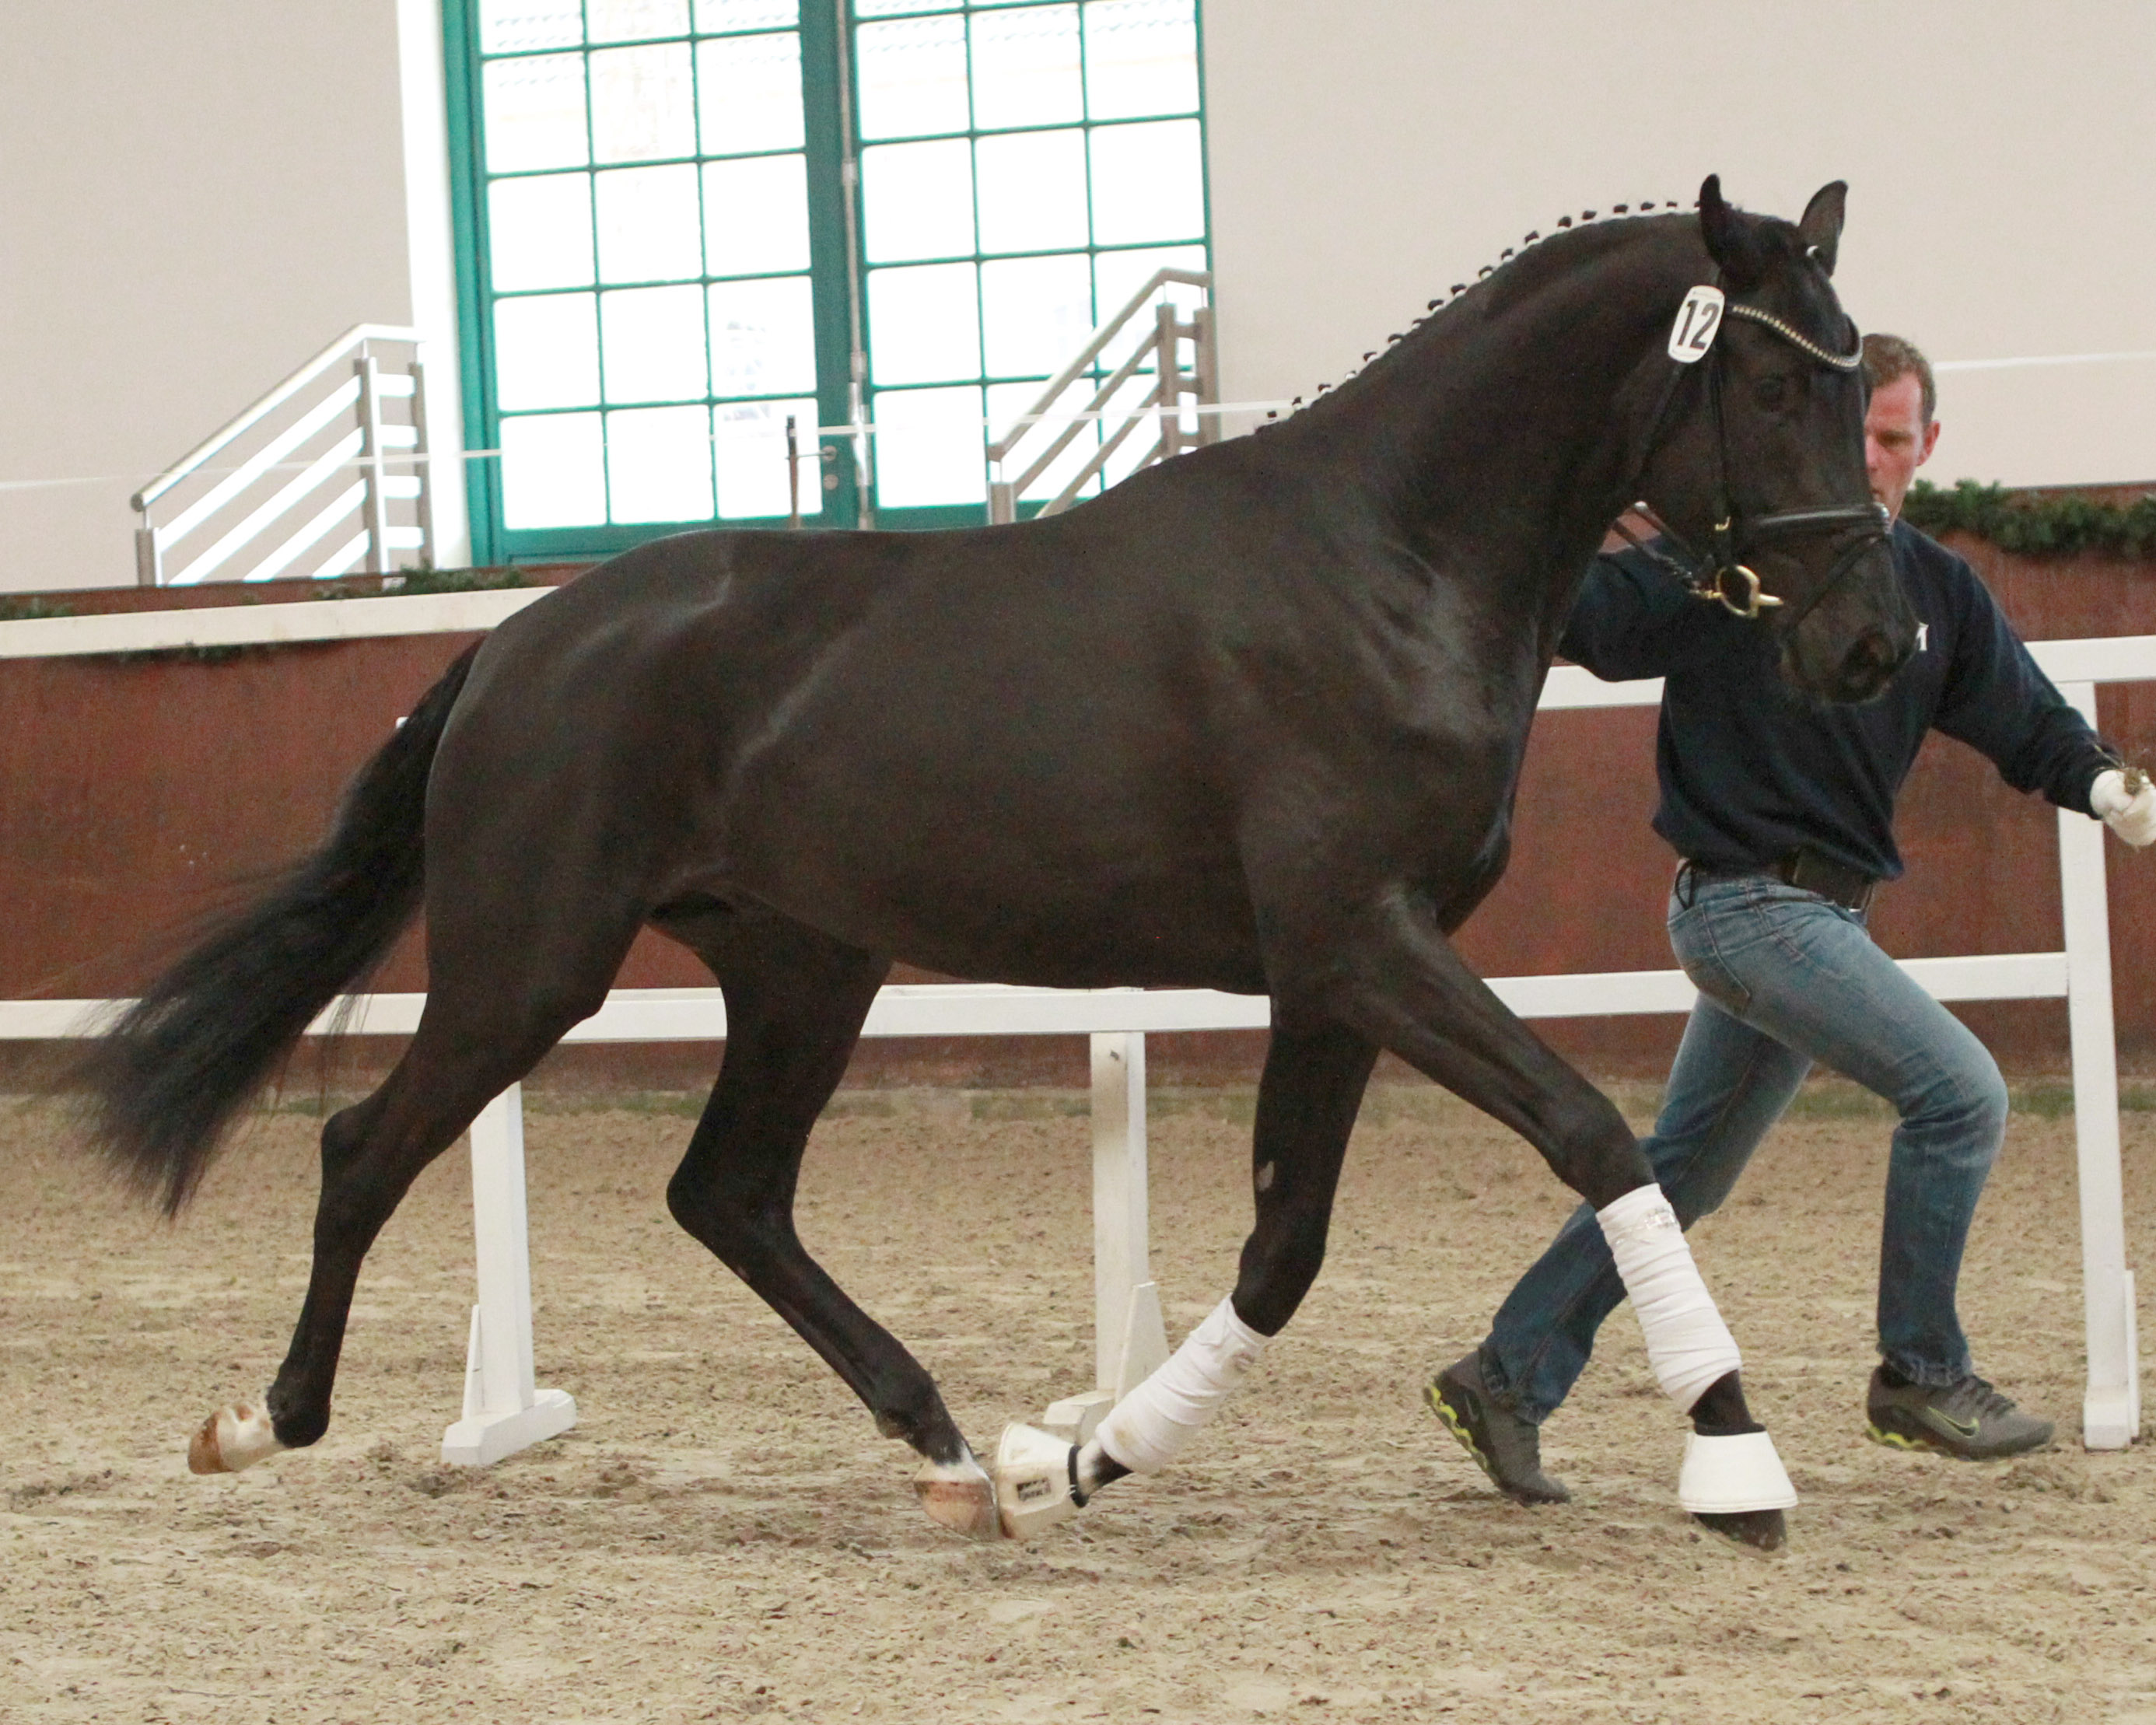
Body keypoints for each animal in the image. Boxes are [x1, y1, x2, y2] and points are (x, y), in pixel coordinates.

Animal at [79, 174, 1906, 1552]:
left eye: (1850, 379)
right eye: (1771, 384)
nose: (1871, 645)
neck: (1386, 559)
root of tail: (517, 643)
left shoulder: (1335, 974)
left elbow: (1282, 1249)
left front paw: (1080, 1457)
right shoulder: (1363, 944)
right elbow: (1596, 1136)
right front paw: (1734, 1455)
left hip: (803, 966)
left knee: (727, 1193)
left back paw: (952, 1454)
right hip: (533, 962)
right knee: (364, 1149)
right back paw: (263, 1420)